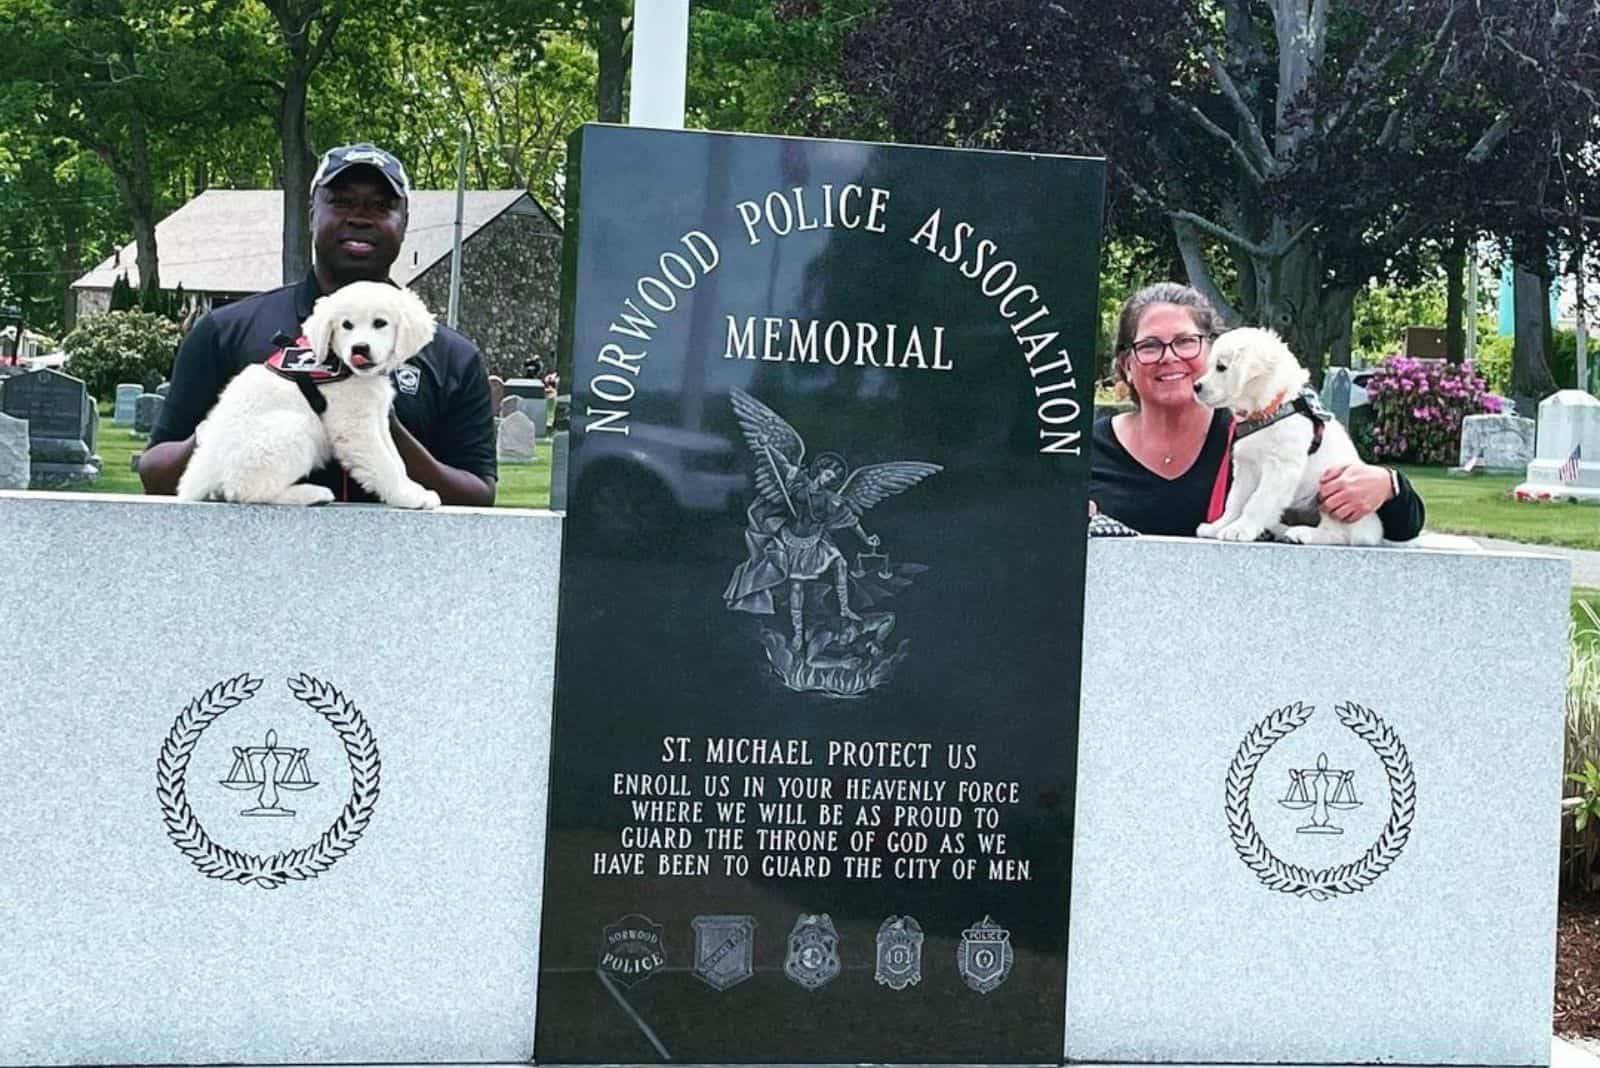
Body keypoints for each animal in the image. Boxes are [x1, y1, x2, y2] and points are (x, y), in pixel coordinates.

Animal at [179, 281, 441, 511]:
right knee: (244, 489)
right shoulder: (354, 428)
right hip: (293, 429)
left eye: (380, 323)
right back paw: (311, 494)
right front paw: (406, 496)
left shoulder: (377, 418)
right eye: (346, 325)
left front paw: (412, 488)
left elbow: (396, 459)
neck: (342, 364)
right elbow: (384, 463)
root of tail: (205, 467)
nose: (359, 348)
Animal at [1196, 327, 1382, 546]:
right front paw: (1219, 526)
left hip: (1331, 493)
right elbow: (1235, 500)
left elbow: (1258, 500)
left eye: (1221, 367)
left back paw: (1302, 534)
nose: (1196, 387)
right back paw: (1277, 530)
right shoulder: (1246, 467)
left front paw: (1241, 528)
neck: (1268, 411)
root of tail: (1375, 532)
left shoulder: (1281, 466)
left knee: (1340, 535)